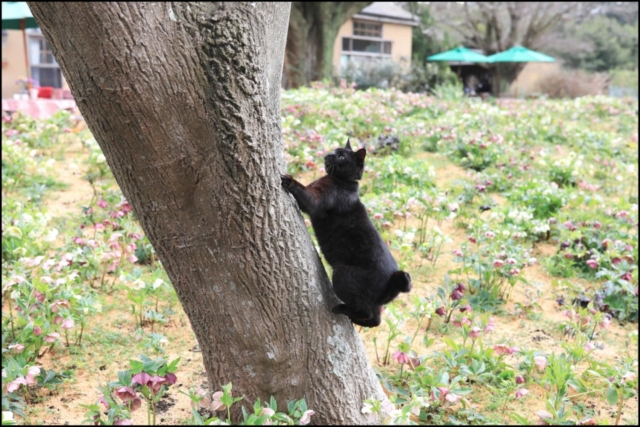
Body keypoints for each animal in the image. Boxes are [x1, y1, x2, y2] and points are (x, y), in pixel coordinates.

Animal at [280, 140, 410, 328]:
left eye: (341, 156)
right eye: (335, 150)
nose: (329, 155)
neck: (345, 182)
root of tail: (390, 283)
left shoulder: (317, 199)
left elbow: (305, 194)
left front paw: (289, 179)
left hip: (342, 275)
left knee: (364, 312)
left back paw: (341, 309)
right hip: (372, 303)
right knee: (375, 320)